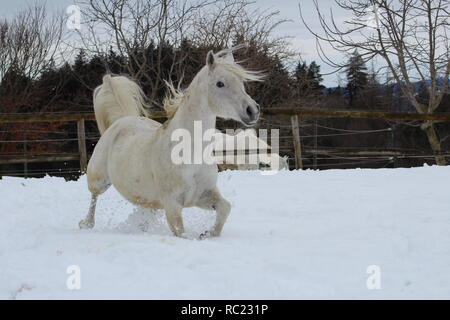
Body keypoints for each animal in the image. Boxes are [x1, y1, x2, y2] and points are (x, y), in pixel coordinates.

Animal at [81, 47, 262, 238]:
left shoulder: (203, 194)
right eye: (220, 83)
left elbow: (225, 208)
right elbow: (181, 233)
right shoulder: (172, 204)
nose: (252, 110)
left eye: (241, 82)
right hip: (98, 179)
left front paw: (207, 234)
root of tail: (121, 121)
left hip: (146, 197)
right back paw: (86, 224)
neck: (190, 152)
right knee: (94, 196)